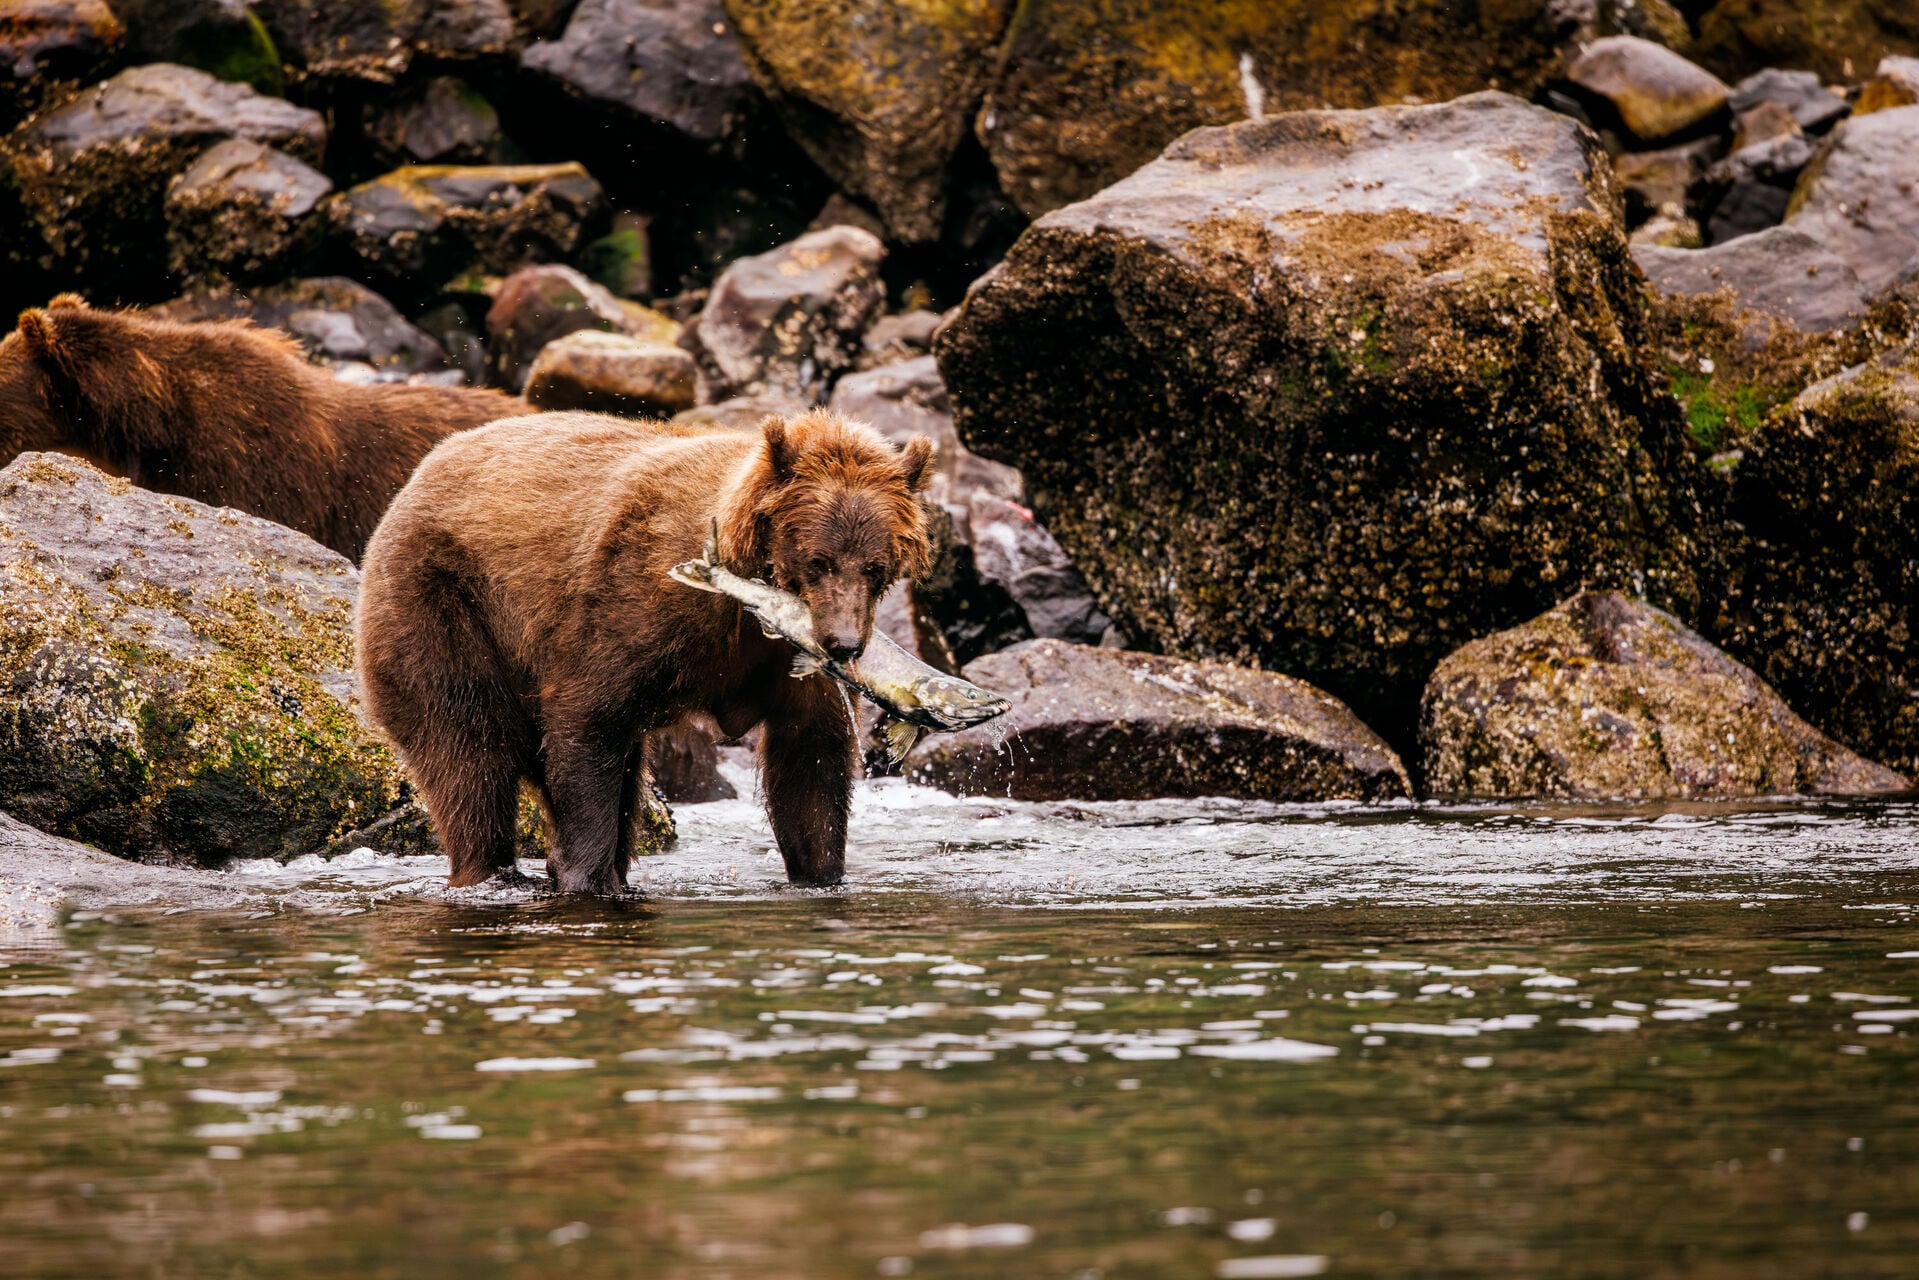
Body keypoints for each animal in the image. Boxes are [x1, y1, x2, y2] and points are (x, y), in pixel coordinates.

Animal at [354, 408, 934, 893]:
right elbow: (589, 722)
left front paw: (820, 871)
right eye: (818, 561)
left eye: (875, 566)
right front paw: (583, 874)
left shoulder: (789, 668)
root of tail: (420, 472)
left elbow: (810, 761)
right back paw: (494, 869)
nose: (844, 643)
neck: (744, 609)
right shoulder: (633, 606)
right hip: (445, 605)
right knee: (467, 750)